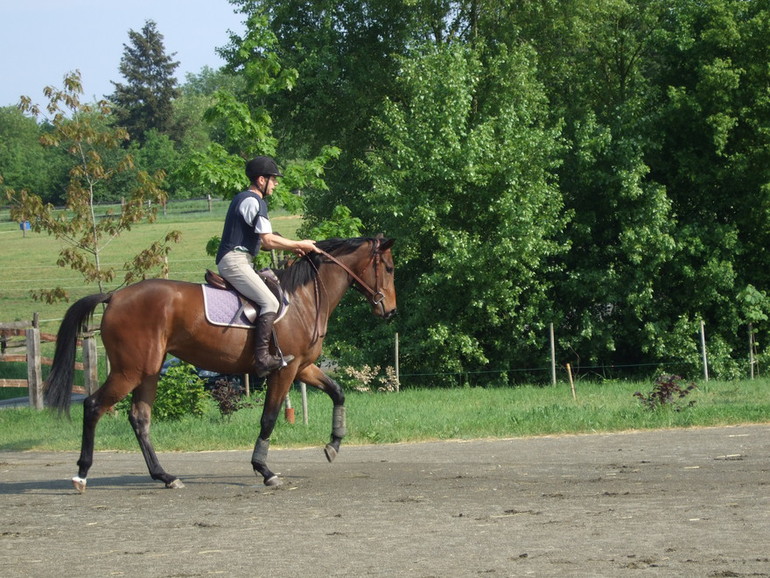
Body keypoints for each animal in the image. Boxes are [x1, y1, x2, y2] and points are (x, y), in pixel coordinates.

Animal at [45, 236, 396, 488]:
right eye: (390, 268)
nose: (390, 311)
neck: (304, 299)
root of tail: (115, 297)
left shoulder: (303, 367)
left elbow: (338, 392)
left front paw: (334, 444)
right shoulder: (284, 371)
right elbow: (269, 419)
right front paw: (264, 469)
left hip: (148, 371)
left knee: (140, 418)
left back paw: (165, 476)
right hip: (129, 370)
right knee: (93, 406)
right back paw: (82, 474)